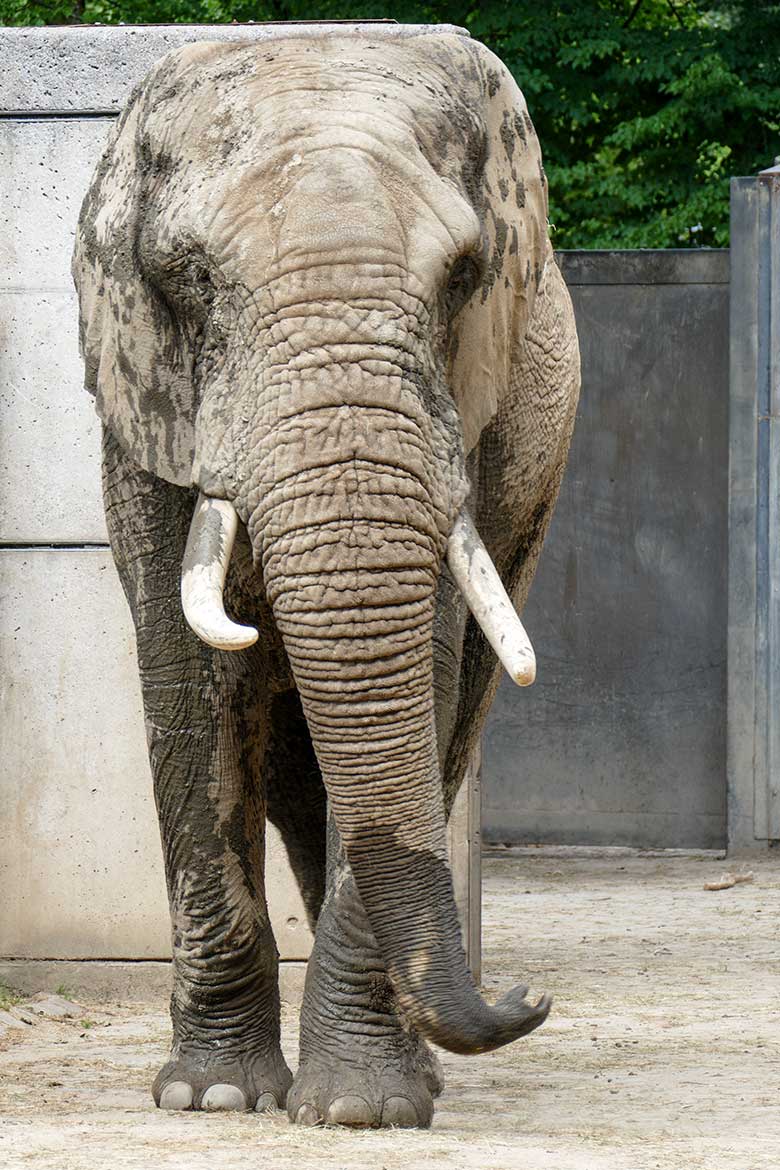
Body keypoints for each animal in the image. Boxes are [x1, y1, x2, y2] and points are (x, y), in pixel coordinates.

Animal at [71, 20, 580, 1132]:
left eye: (465, 276)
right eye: (189, 277)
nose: (529, 999)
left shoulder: (462, 429)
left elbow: (418, 683)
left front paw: (360, 1111)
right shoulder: (146, 419)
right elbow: (189, 687)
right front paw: (213, 1097)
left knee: (442, 729)